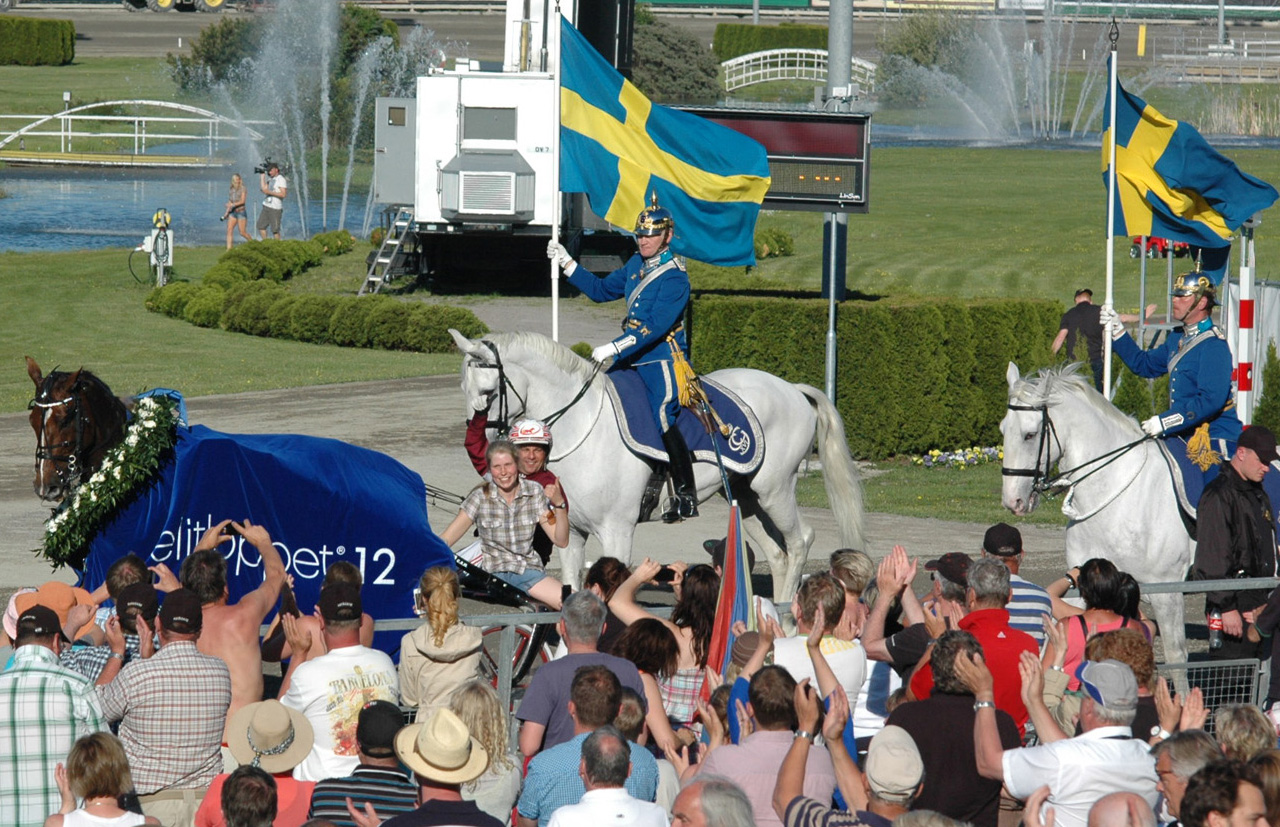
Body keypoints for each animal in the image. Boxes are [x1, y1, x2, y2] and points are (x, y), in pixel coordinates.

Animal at [445, 327, 865, 599]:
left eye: (488, 391)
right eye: (463, 389)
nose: (479, 448)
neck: (582, 425)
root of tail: (792, 388)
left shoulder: (616, 531)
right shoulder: (572, 534)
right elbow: (570, 593)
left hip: (774, 490)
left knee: (800, 541)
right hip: (744, 498)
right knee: (778, 554)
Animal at [1003, 363, 1192, 665]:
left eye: (1029, 435)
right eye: (1002, 430)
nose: (1012, 501)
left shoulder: (1168, 592)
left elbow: (1177, 659)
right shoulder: (1083, 583)